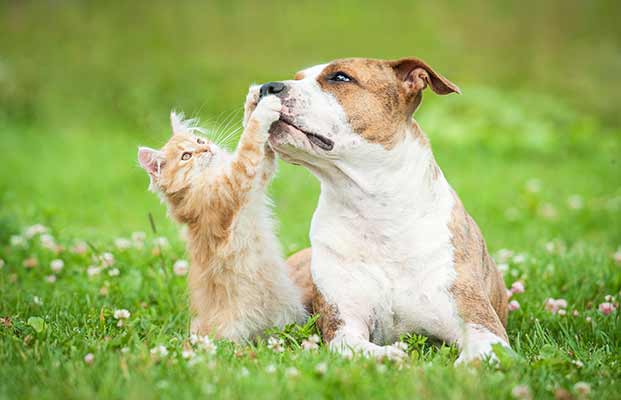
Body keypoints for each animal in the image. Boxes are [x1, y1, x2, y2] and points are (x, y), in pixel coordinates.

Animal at [138, 93, 308, 340]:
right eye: (186, 156)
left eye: (199, 141)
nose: (206, 149)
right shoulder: (232, 184)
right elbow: (249, 143)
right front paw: (264, 109)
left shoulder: (257, 178)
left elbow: (262, 151)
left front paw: (253, 100)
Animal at [245, 57, 506, 364]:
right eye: (298, 77)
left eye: (340, 77)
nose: (266, 87)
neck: (376, 211)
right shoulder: (344, 325)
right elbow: (362, 349)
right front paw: (396, 355)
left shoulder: (482, 324)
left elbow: (480, 355)